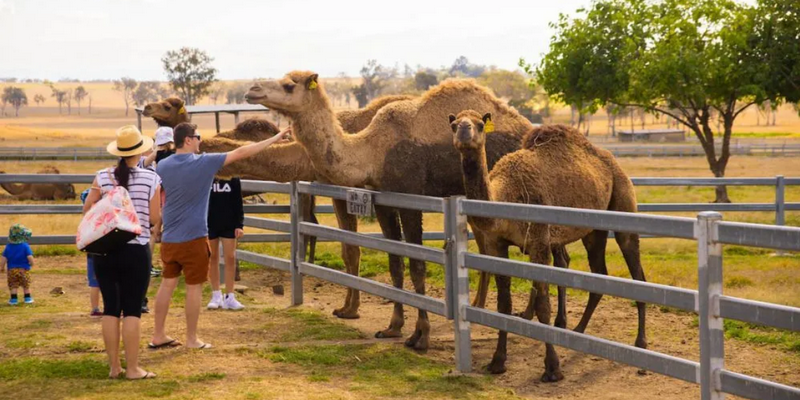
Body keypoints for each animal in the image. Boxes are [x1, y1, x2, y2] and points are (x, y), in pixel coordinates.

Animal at [245, 71, 533, 350]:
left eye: (289, 85)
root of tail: (528, 128)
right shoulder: (383, 201)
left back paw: (525, 315)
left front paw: (421, 336)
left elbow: (417, 265)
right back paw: (489, 307)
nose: (252, 90)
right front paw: (393, 326)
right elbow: (395, 262)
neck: (374, 152)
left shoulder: (410, 200)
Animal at [450, 111, 647, 381]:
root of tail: (612, 162)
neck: (507, 194)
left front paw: (552, 369)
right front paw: (497, 362)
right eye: (452, 125)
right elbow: (503, 305)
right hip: (593, 230)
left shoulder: (539, 241)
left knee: (637, 273)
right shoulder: (497, 245)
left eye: (480, 124)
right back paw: (578, 330)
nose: (464, 131)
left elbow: (543, 305)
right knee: (599, 274)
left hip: (623, 200)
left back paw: (641, 345)